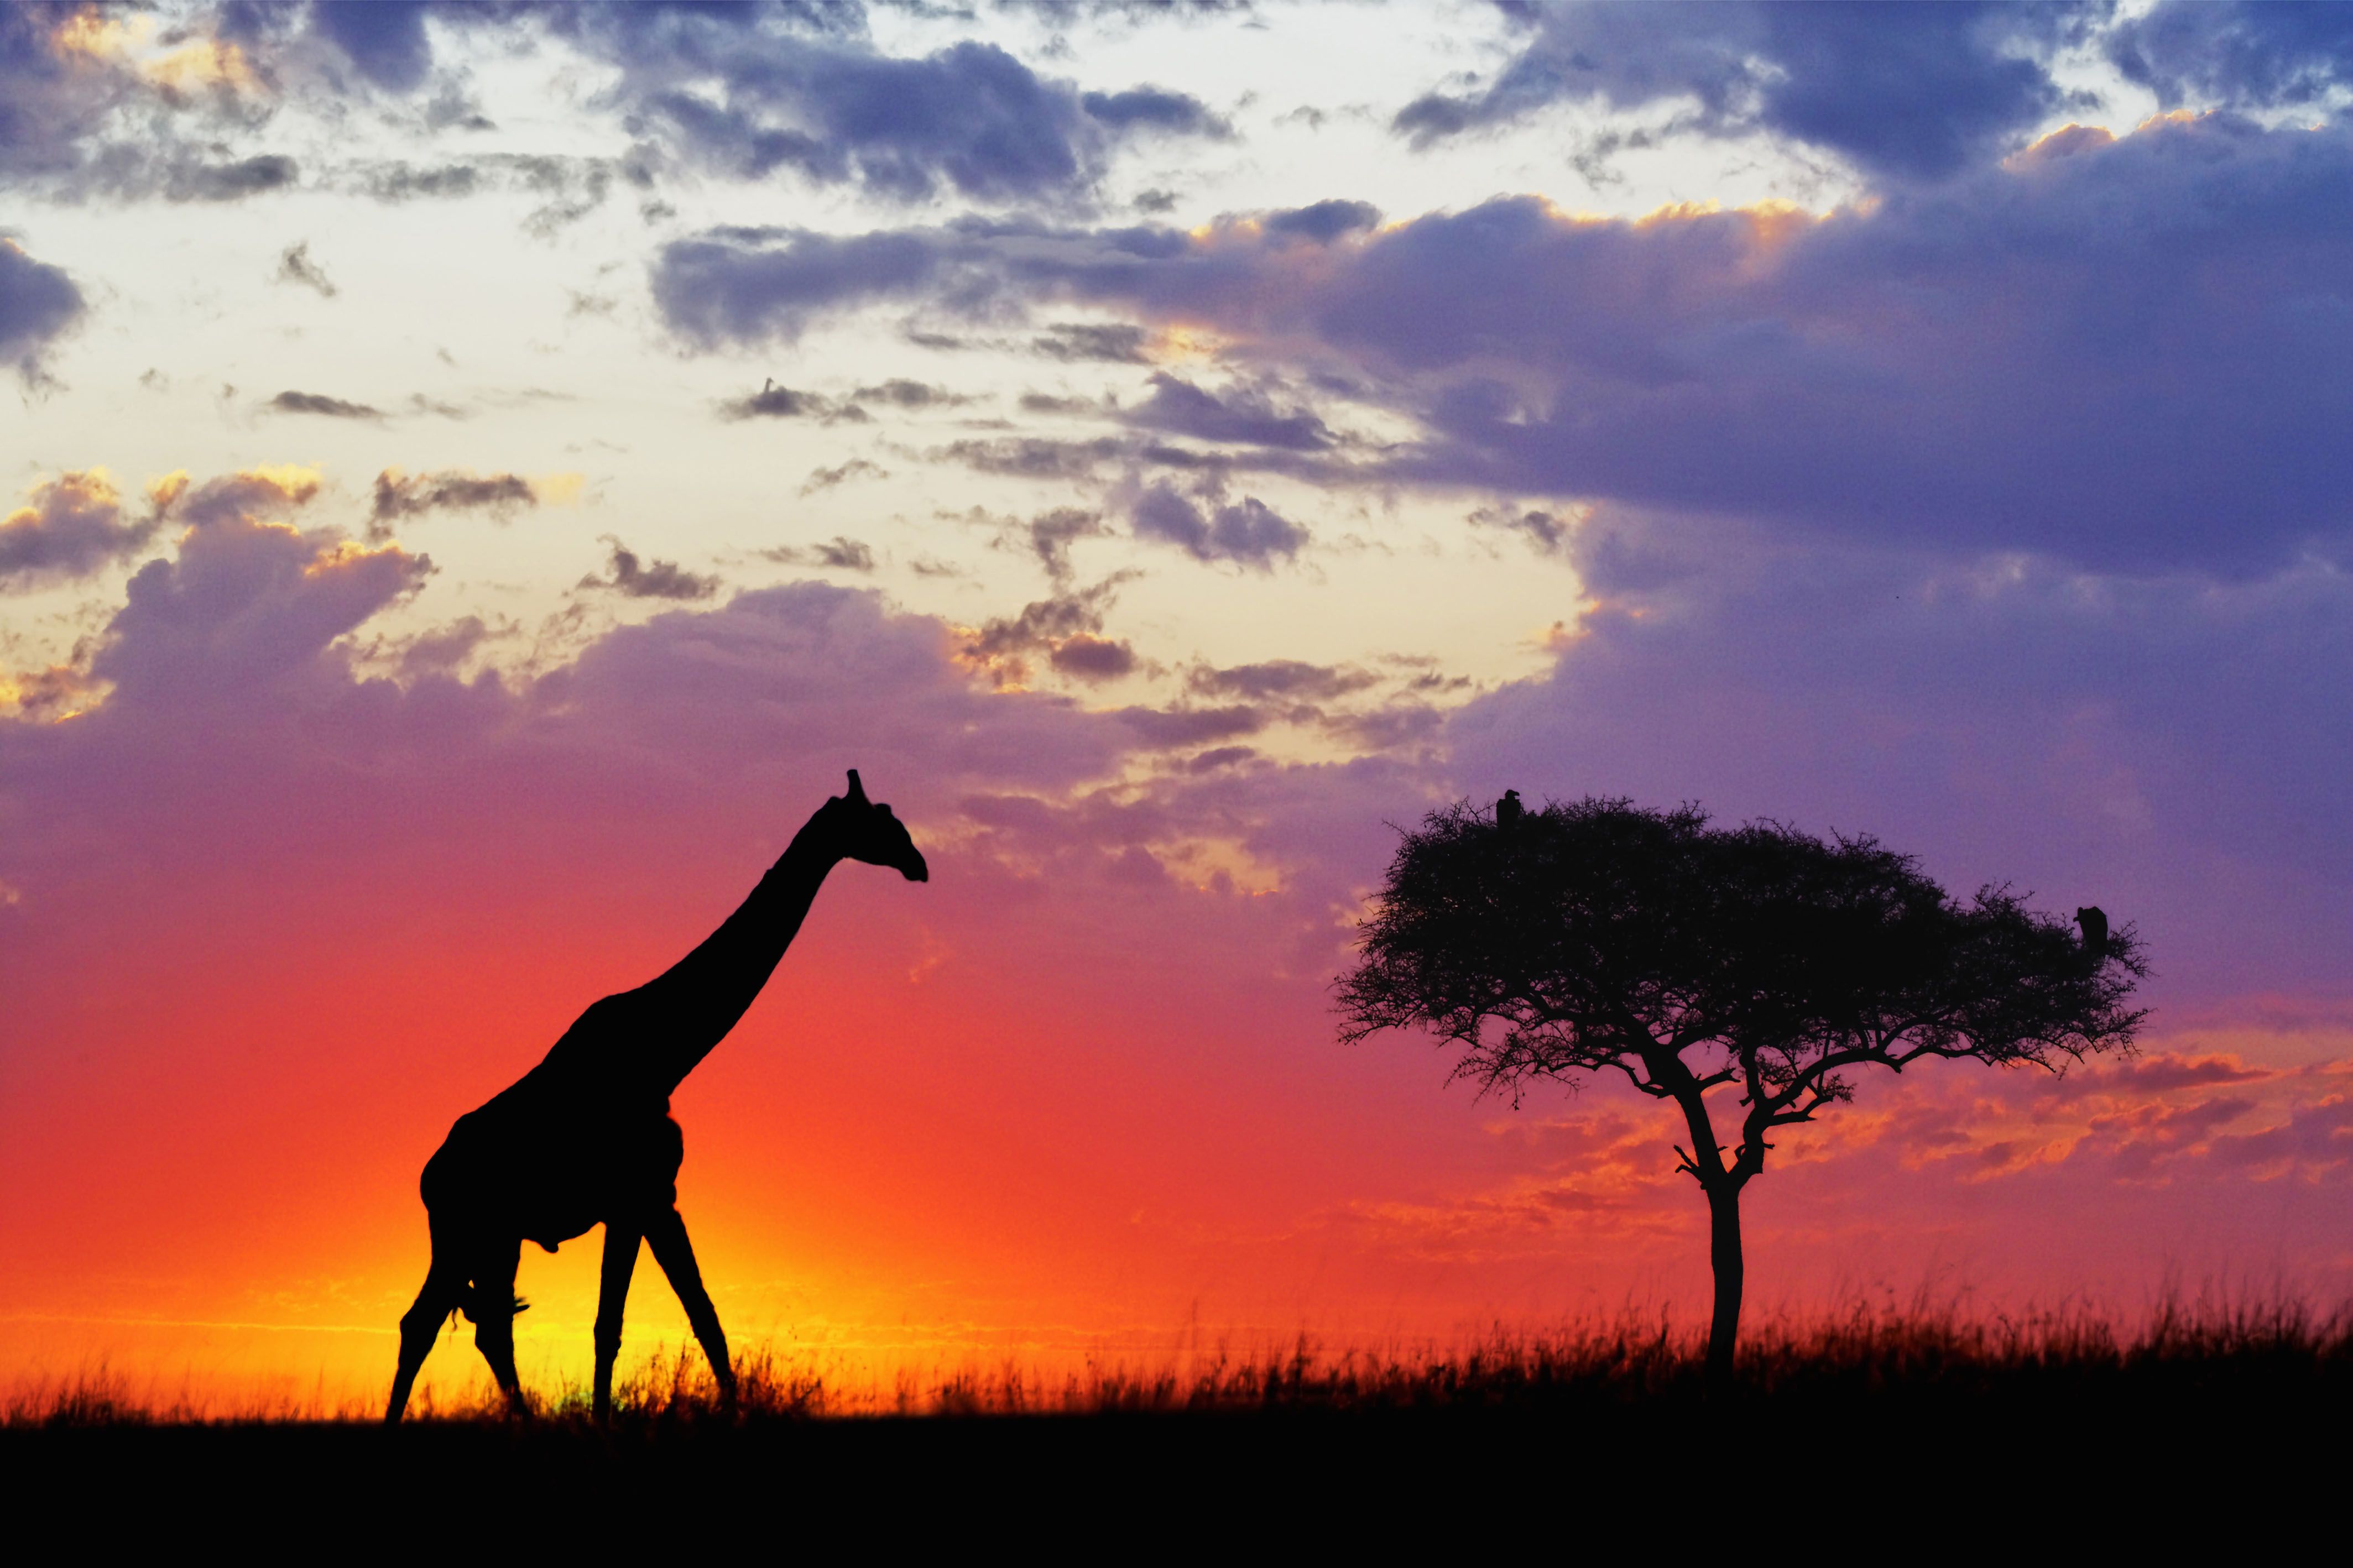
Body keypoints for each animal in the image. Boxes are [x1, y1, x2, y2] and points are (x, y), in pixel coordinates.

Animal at [383, 771, 928, 1423]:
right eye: (880, 819)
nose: (918, 863)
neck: (665, 1053)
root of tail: (428, 1177)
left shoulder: (659, 1199)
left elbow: (702, 1315)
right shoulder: (631, 1199)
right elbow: (610, 1326)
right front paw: (602, 1422)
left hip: (496, 1237)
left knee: (481, 1326)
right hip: (464, 1231)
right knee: (427, 1323)